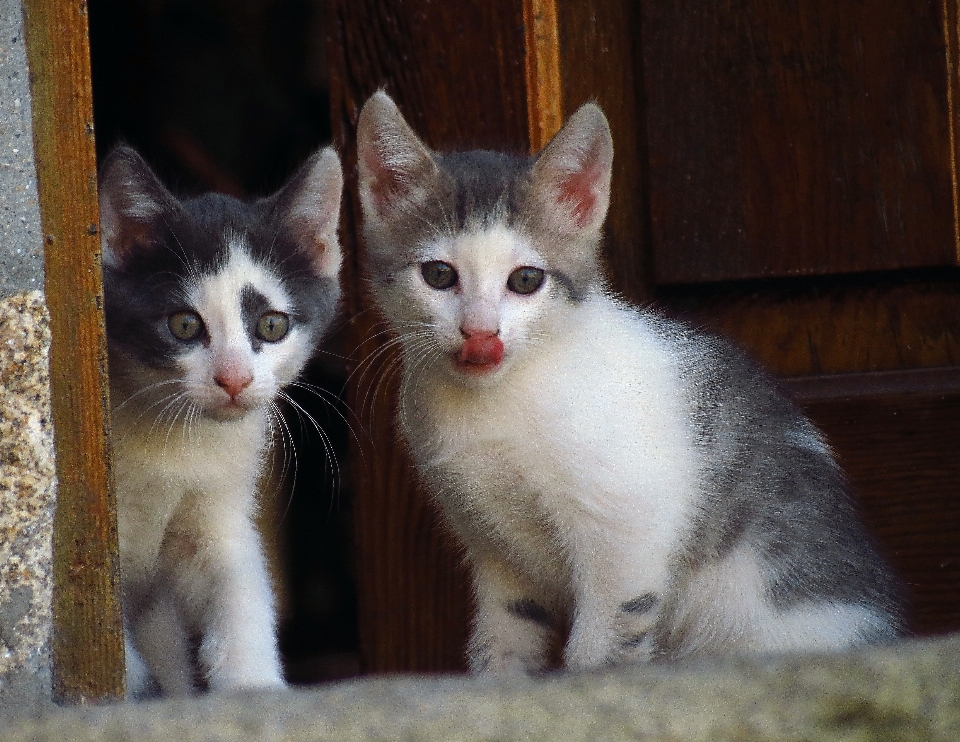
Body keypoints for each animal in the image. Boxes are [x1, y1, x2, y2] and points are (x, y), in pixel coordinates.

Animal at [97, 147, 344, 696]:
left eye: (271, 325)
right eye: (184, 324)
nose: (233, 378)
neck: (175, 440)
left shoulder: (217, 510)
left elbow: (238, 585)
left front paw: (253, 683)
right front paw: (136, 687)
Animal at [356, 91, 904, 676]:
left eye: (526, 280)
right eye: (439, 275)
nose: (481, 334)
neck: (495, 401)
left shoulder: (628, 527)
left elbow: (603, 640)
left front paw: (588, 681)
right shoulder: (495, 547)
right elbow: (504, 638)